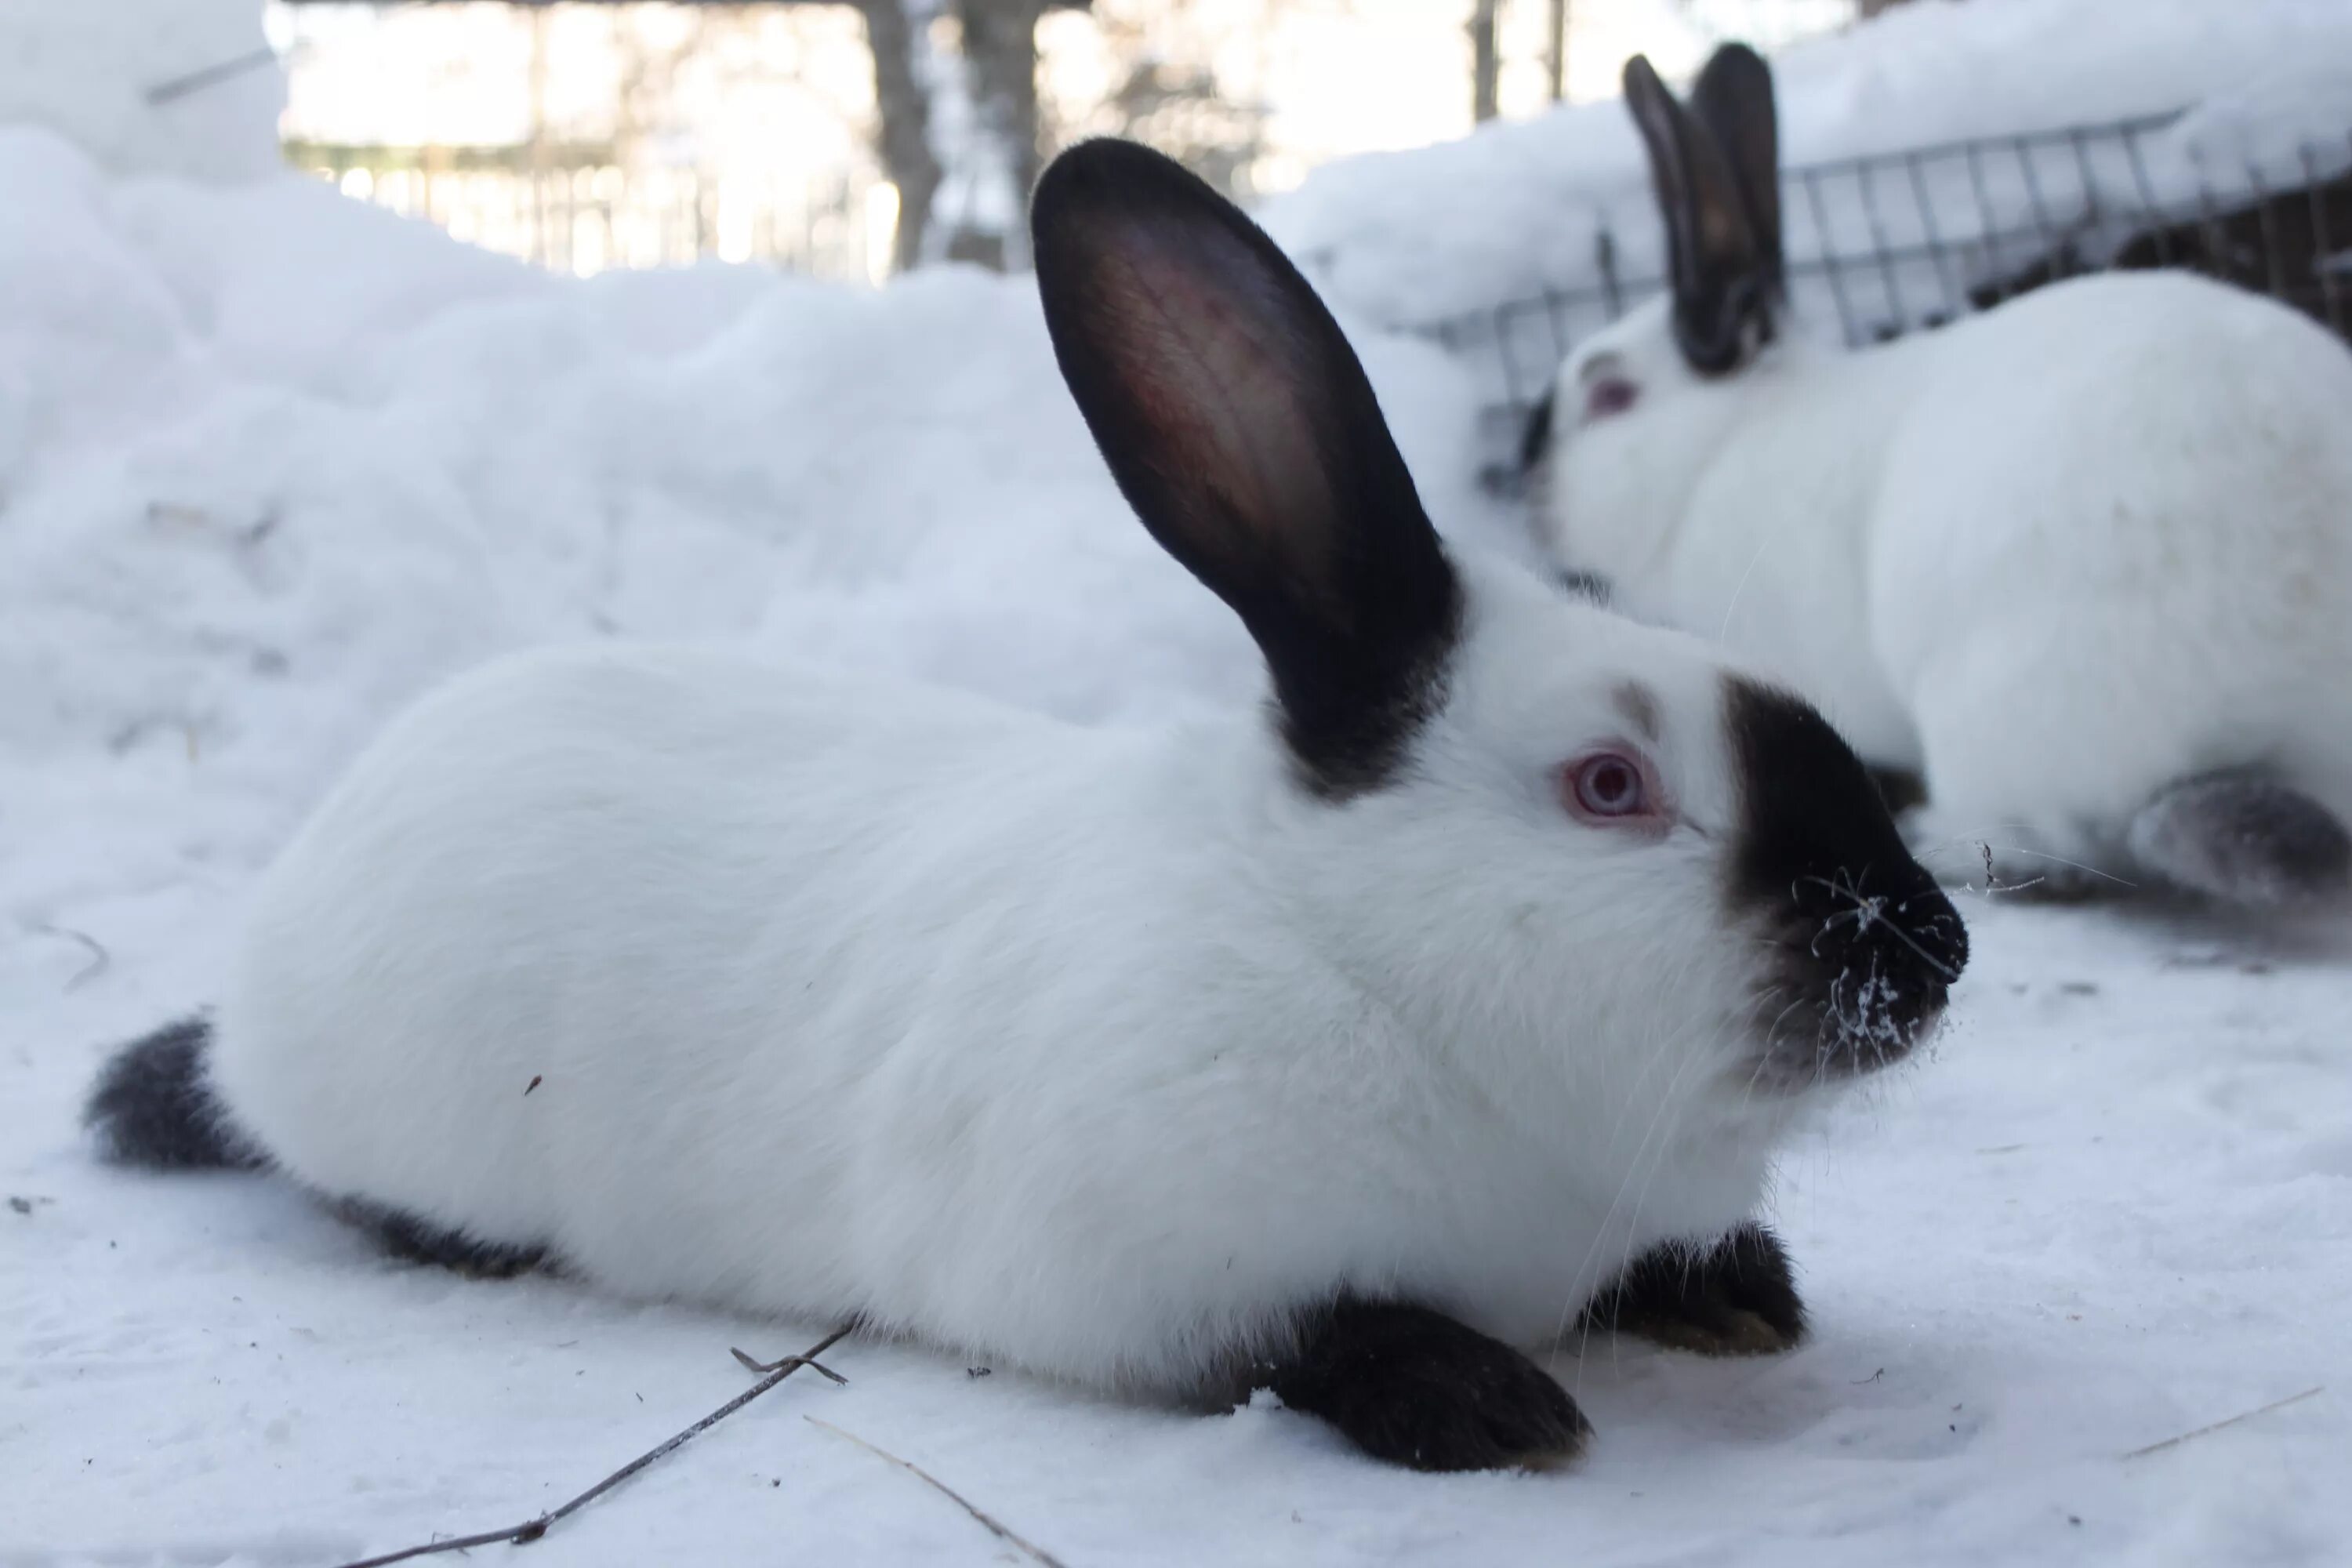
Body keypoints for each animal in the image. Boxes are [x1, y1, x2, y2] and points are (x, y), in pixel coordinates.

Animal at [87, 140, 1966, 1476]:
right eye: (1611, 786)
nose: (1937, 946)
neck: (1363, 959)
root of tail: (261, 974)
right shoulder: (1123, 1271)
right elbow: (1297, 1340)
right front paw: (1488, 1400)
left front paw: (1743, 1292)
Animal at [1524, 45, 2352, 907]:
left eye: (1611, 398)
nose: (1531, 493)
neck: (1723, 444)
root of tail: (2286, 716)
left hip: (1997, 712)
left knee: (2050, 844)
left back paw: (1938, 839)